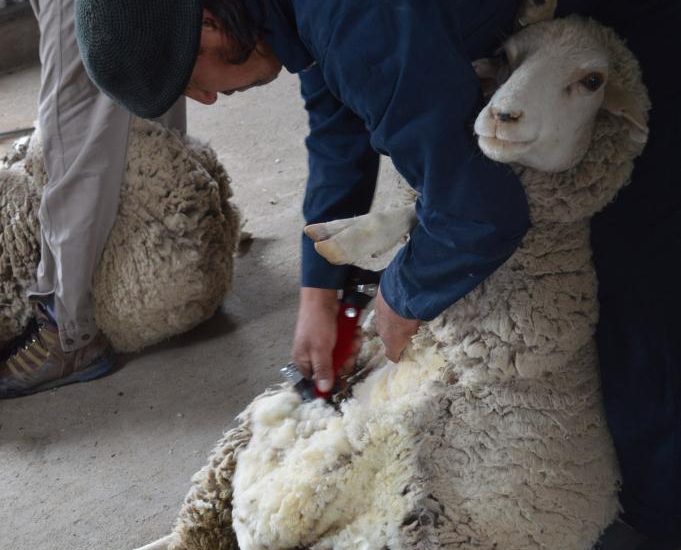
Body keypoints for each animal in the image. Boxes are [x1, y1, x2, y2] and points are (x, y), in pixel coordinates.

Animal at [137, 9, 648, 550]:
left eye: (592, 81)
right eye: (506, 54)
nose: (500, 116)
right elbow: (416, 216)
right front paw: (340, 237)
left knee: (254, 498)